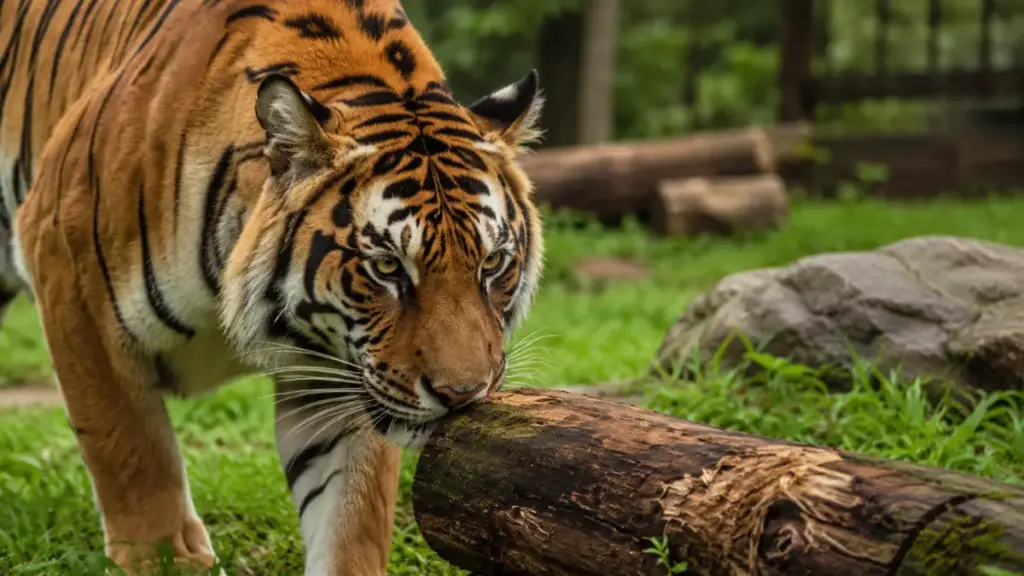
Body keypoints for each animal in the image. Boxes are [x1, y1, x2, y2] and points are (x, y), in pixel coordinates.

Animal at [0, 0, 545, 574]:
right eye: (387, 267)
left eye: (493, 263)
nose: (462, 397)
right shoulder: (65, 268)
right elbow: (130, 450)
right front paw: (166, 557)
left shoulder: (342, 373)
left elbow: (351, 514)